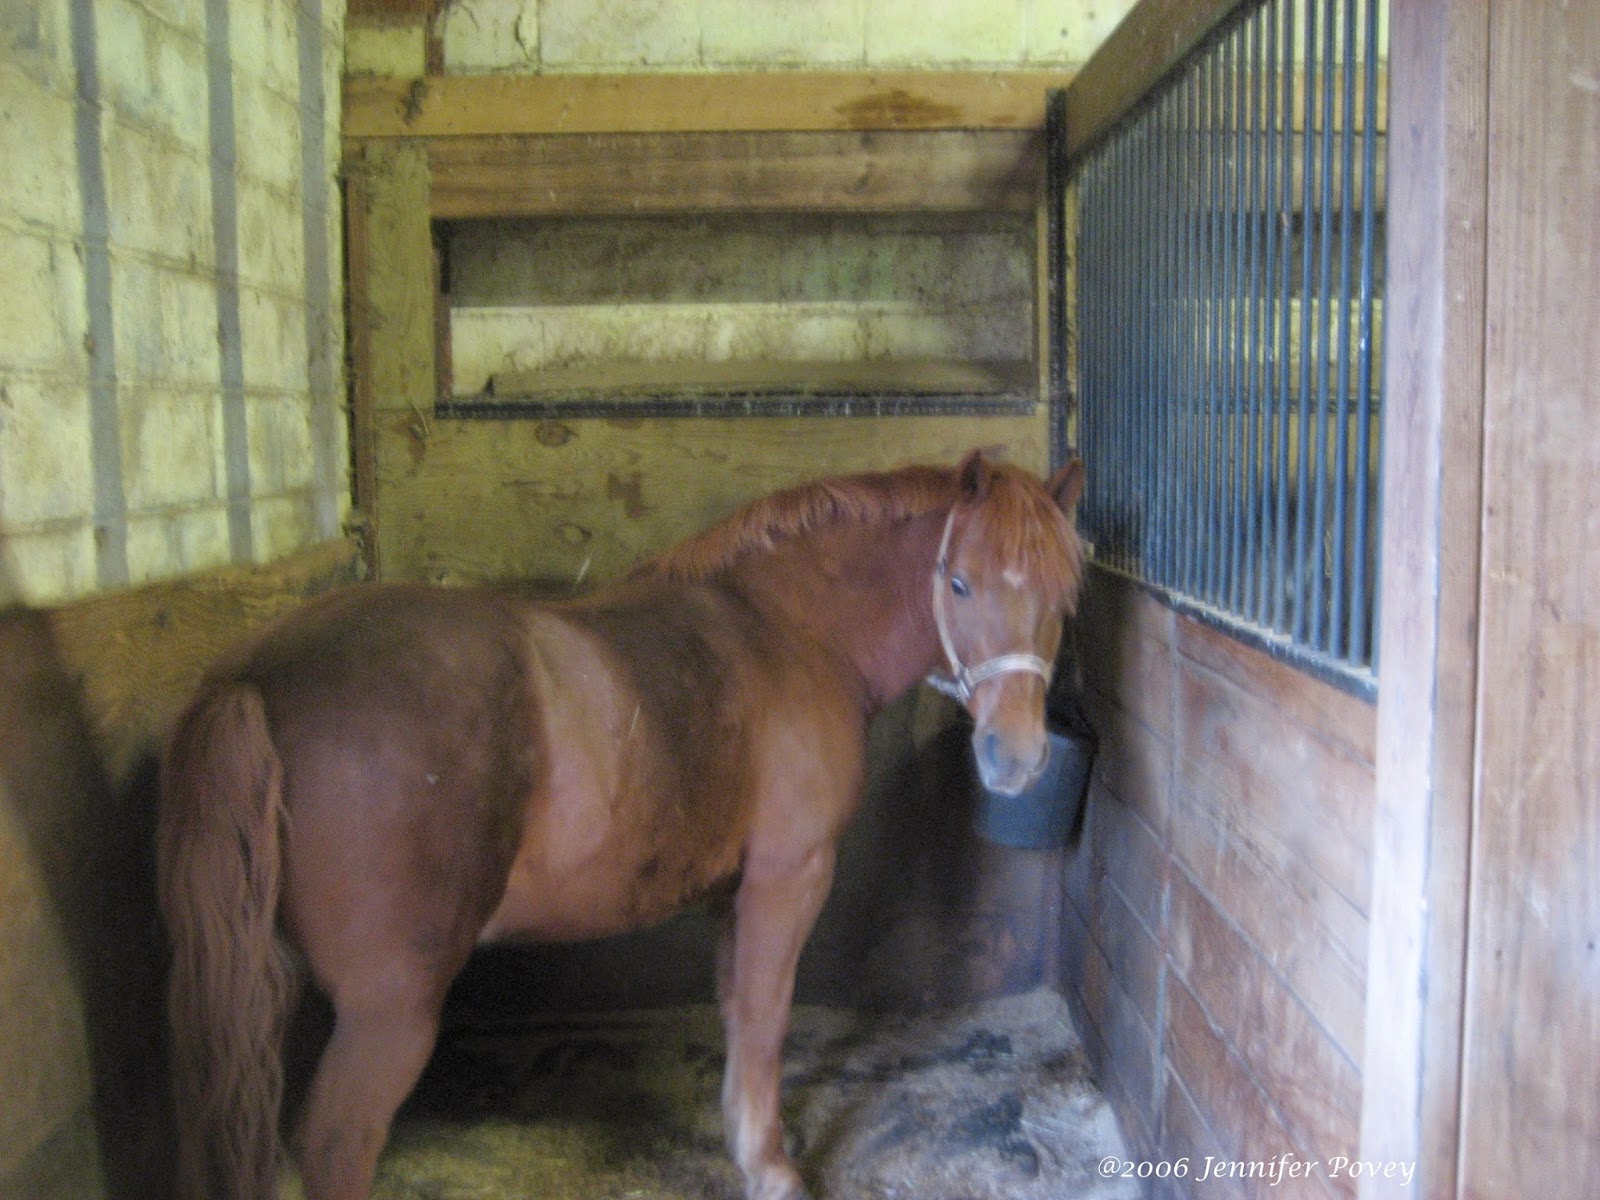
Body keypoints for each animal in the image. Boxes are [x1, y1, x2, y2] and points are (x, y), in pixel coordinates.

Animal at [157, 449, 1087, 1200]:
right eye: (959, 582)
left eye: (1062, 598)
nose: (1014, 756)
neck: (786, 633)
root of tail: (253, 678)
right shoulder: (790, 873)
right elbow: (766, 1016)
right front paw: (773, 1169)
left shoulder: (735, 891)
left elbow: (738, 1011)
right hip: (390, 1009)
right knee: (337, 1143)